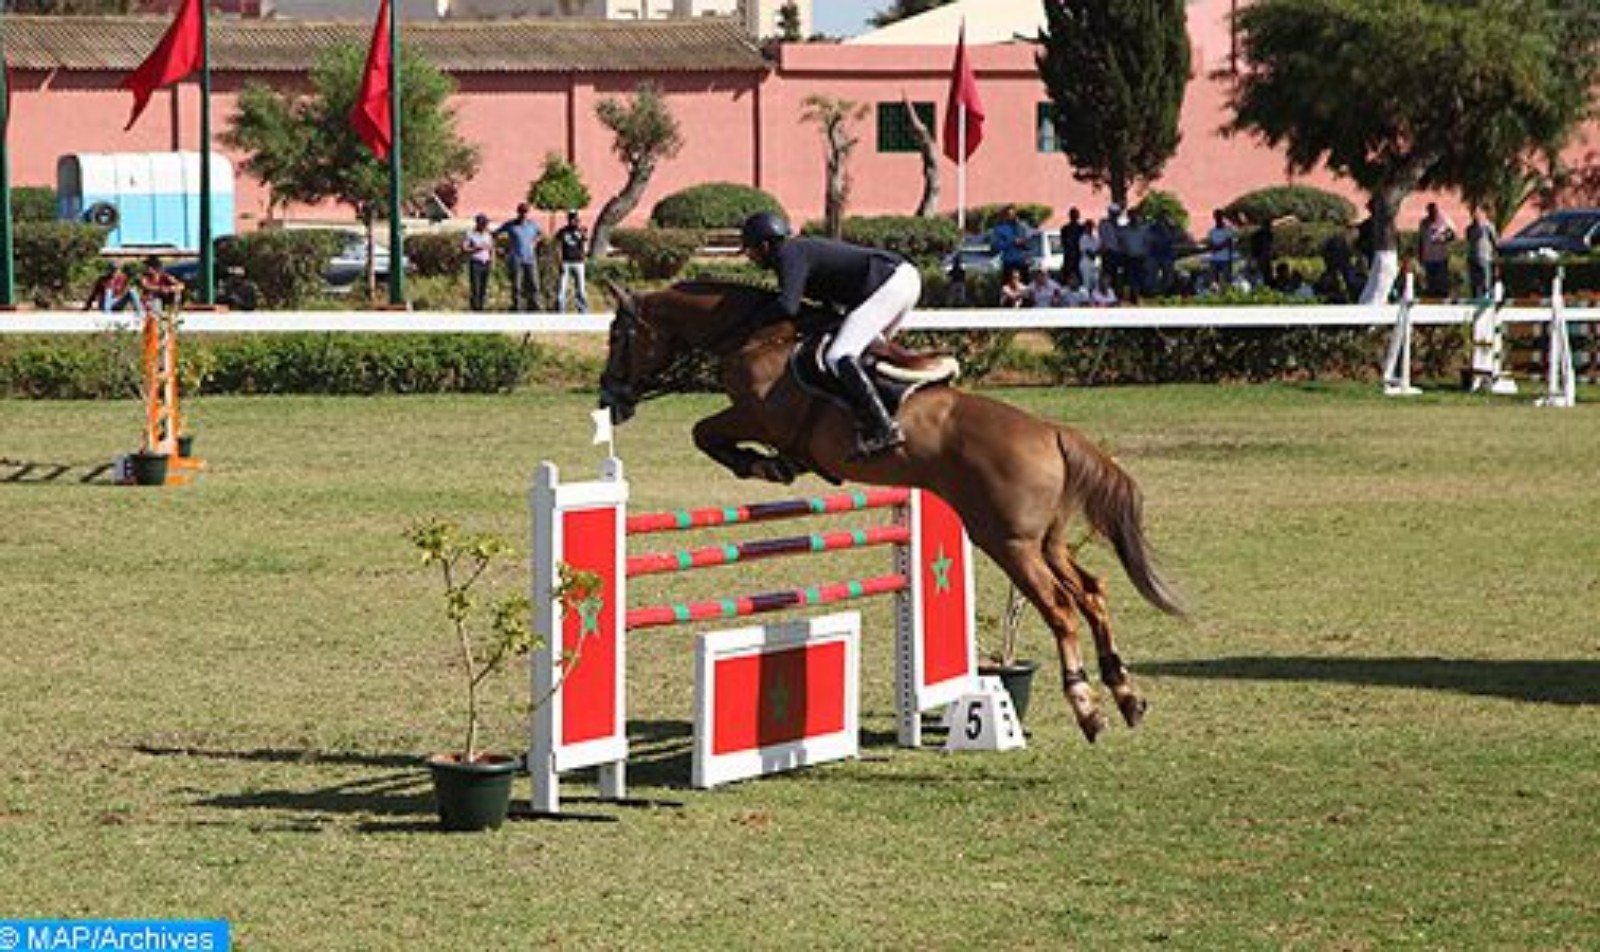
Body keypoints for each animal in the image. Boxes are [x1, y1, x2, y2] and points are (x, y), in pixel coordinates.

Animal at [595, 280, 1184, 742]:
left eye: (618, 336)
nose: (609, 399)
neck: (755, 334)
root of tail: (1052, 432)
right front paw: (772, 466)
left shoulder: (757, 415)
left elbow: (704, 432)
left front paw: (764, 466)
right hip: (1047, 540)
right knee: (1091, 592)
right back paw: (1126, 694)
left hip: (1008, 542)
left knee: (1062, 608)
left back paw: (1089, 710)